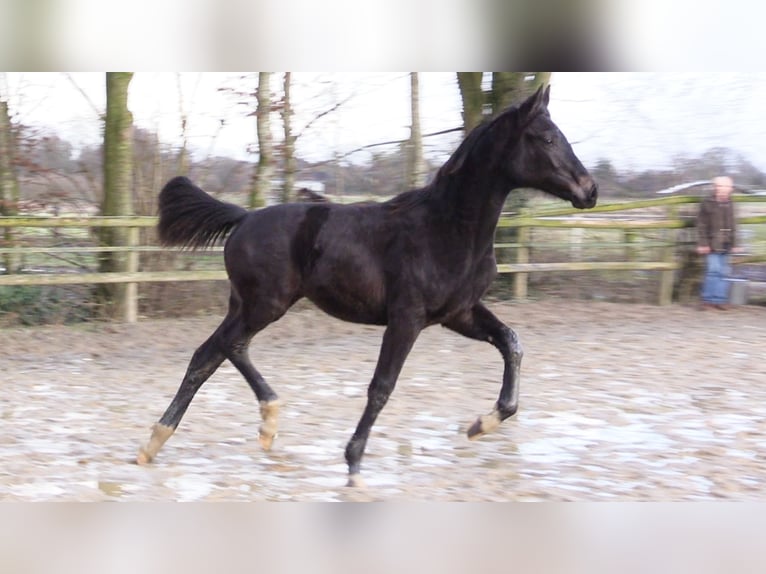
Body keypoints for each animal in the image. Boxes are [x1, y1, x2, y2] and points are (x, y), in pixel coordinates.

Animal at [136, 88, 600, 488]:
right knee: (222, 349)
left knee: (212, 353)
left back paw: (177, 438)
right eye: (547, 138)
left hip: (247, 304)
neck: (449, 229)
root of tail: (244, 217)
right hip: (264, 304)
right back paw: (215, 429)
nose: (590, 190)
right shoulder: (407, 317)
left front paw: (480, 424)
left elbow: (512, 342)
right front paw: (354, 462)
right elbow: (382, 386)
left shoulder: (459, 313)